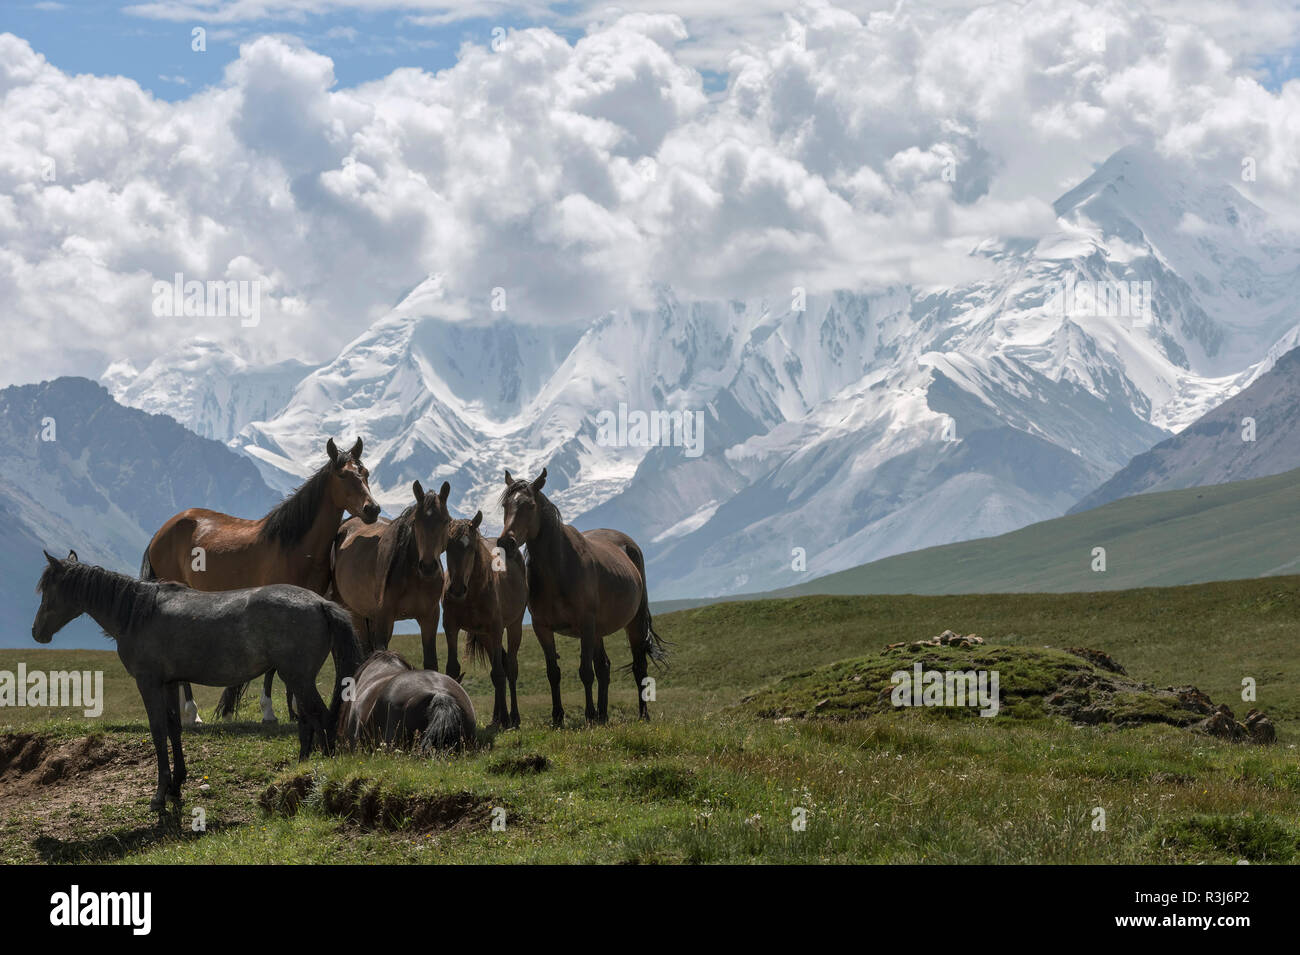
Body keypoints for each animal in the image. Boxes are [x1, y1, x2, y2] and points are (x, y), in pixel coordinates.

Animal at [32, 551, 362, 810]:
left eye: (48, 590)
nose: (37, 632)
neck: (139, 614)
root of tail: (320, 603)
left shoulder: (148, 683)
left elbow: (158, 732)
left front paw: (159, 794)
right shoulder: (169, 683)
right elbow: (174, 729)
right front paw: (176, 784)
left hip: (298, 678)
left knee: (322, 717)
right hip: (294, 678)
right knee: (307, 720)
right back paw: (301, 766)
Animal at [141, 437, 379, 725]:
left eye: (365, 473)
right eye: (343, 475)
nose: (372, 509)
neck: (293, 546)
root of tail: (162, 531)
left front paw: (297, 709)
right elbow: (271, 668)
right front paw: (269, 712)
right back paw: (192, 713)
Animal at [330, 480, 451, 669]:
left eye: (446, 521)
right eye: (416, 522)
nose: (428, 567)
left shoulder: (430, 617)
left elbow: (430, 662)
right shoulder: (384, 619)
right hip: (354, 613)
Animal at [442, 510, 527, 727]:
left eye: (471, 548)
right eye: (447, 547)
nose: (457, 589)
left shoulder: (496, 629)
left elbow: (499, 673)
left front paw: (506, 718)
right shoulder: (451, 627)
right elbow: (453, 669)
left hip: (513, 626)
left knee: (510, 668)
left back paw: (513, 717)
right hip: (485, 636)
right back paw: (496, 717)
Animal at [496, 468, 667, 726]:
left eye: (530, 505)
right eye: (506, 505)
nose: (506, 542)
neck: (558, 570)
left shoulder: (585, 625)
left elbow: (586, 671)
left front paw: (588, 716)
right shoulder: (542, 627)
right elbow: (553, 673)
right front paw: (558, 718)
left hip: (633, 623)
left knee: (639, 667)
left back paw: (641, 715)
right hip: (599, 631)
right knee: (604, 667)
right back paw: (603, 715)